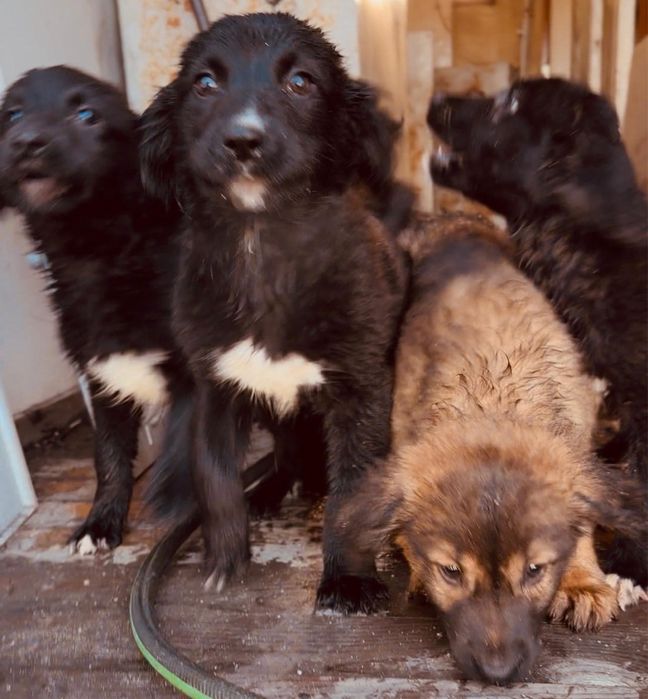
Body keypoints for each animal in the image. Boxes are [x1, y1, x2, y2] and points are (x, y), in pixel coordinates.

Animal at [0, 66, 194, 553]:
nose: (26, 141)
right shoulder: (103, 374)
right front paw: (100, 523)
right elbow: (108, 456)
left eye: (87, 115)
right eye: (13, 115)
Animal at [140, 12, 409, 613]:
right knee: (285, 458)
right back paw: (267, 491)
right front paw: (224, 559)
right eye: (204, 84)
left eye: (301, 82)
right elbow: (214, 478)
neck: (262, 246)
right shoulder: (214, 386)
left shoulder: (363, 388)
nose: (243, 140)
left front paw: (347, 580)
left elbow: (353, 491)